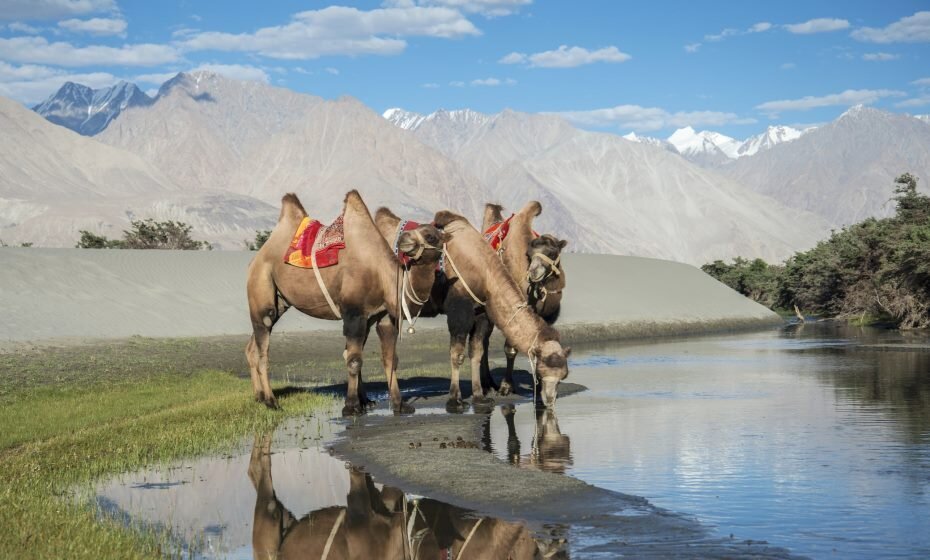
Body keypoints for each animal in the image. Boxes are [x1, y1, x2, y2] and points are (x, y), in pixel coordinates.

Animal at [243, 190, 446, 414]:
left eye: (431, 235)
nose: (404, 239)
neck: (381, 272)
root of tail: (255, 260)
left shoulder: (381, 316)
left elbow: (390, 359)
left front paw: (397, 404)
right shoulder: (353, 312)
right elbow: (354, 360)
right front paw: (351, 406)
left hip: (280, 302)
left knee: (253, 346)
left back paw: (259, 397)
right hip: (262, 285)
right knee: (263, 346)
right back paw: (272, 402)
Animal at [478, 203, 564, 396]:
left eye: (552, 252)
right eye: (529, 254)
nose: (534, 272)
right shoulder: (514, 311)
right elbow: (510, 349)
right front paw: (506, 386)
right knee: (483, 340)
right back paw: (487, 384)